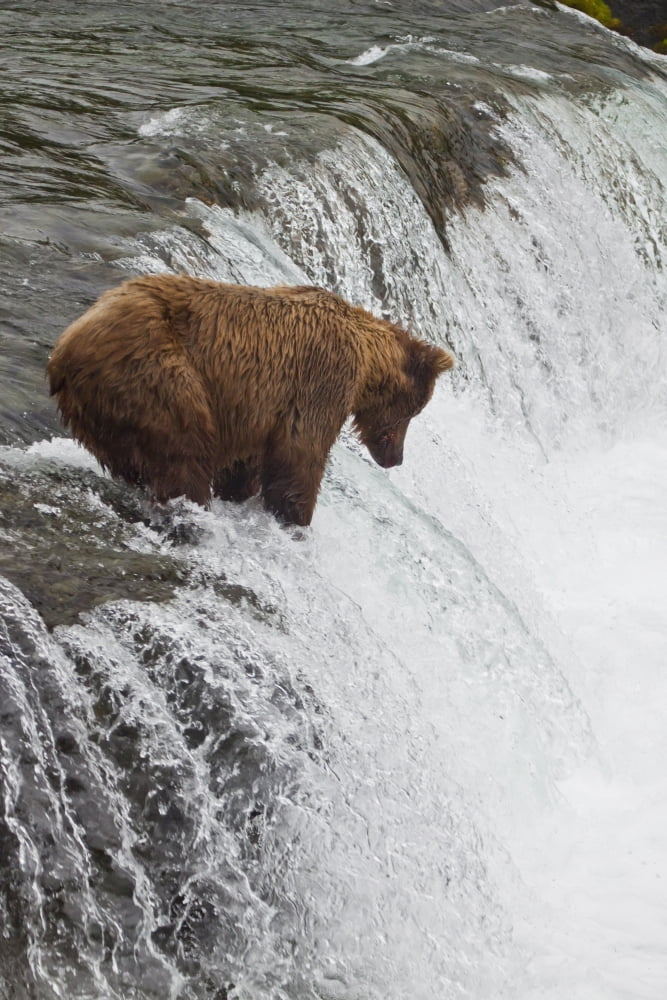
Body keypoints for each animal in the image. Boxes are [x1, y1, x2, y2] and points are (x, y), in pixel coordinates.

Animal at [47, 275, 454, 526]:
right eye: (415, 411)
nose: (396, 458)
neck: (368, 360)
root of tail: (65, 347)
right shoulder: (323, 377)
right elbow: (300, 453)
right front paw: (295, 517)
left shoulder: (257, 407)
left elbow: (248, 462)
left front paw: (240, 491)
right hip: (155, 371)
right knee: (184, 447)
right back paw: (193, 507)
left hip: (100, 407)